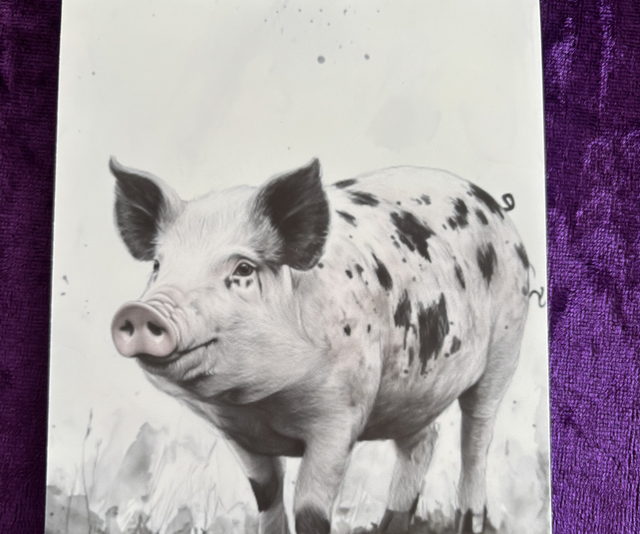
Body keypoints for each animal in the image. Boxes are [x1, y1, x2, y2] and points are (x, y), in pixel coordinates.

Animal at [109, 157, 531, 534]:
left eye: (243, 269)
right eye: (158, 266)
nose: (140, 310)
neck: (260, 404)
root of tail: (492, 205)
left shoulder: (341, 414)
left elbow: (310, 512)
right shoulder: (239, 435)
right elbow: (267, 496)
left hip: (505, 348)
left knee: (475, 442)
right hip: (413, 394)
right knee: (423, 443)